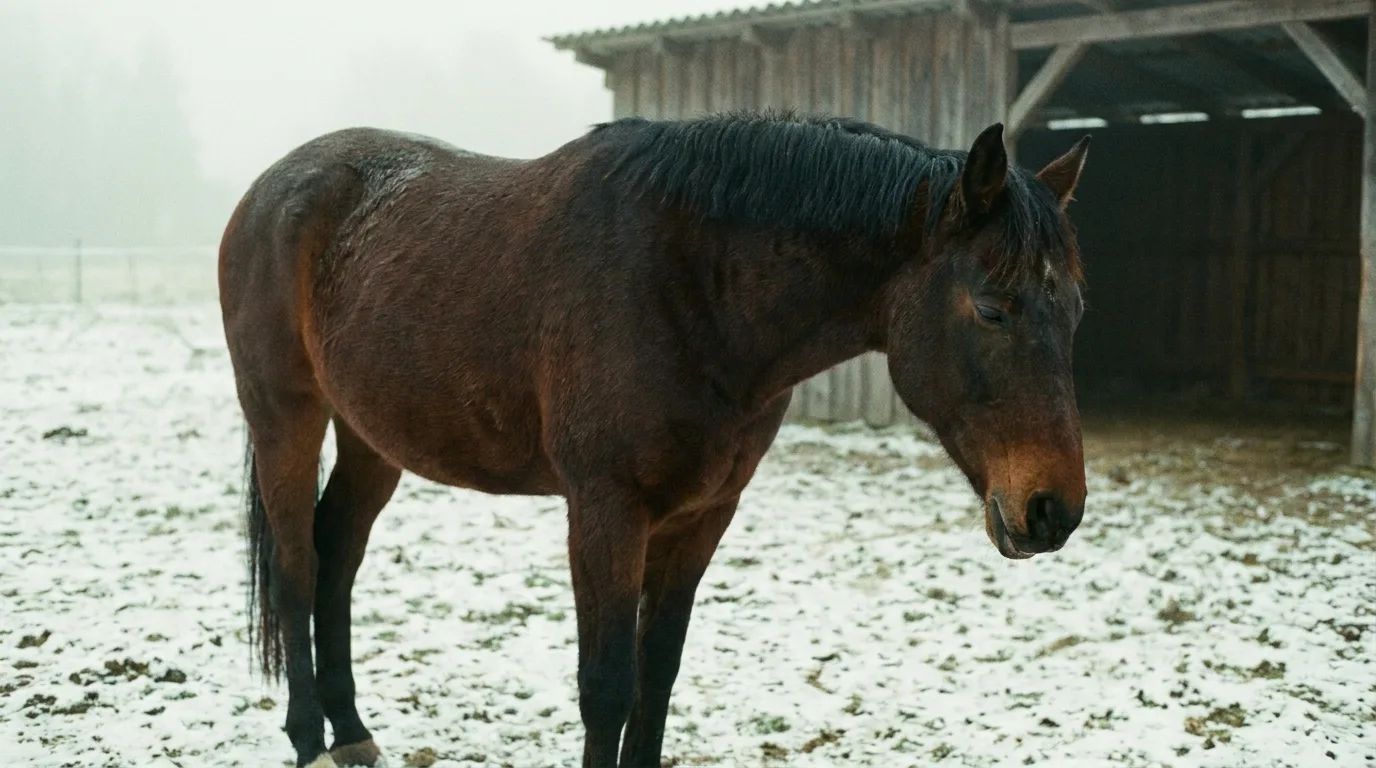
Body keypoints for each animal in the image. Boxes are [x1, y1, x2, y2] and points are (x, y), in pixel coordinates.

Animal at [218, 109, 1091, 768]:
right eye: (992, 307)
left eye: (1075, 307)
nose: (1054, 509)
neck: (693, 287)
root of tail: (268, 189)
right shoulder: (606, 511)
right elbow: (607, 686)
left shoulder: (703, 513)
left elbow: (657, 673)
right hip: (286, 417)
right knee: (297, 566)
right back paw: (309, 741)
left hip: (373, 440)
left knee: (337, 557)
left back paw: (352, 734)